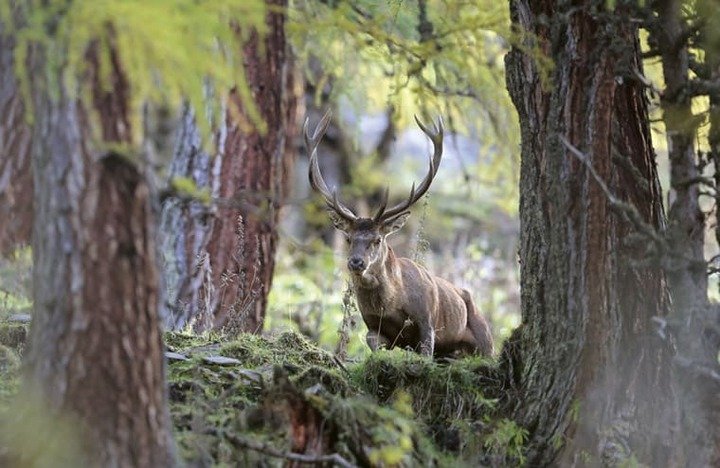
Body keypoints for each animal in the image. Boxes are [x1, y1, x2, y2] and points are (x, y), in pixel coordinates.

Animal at [304, 110, 493, 358]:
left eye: (377, 239)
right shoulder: (373, 327)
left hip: (485, 339)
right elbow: (373, 343)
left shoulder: (427, 320)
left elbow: (426, 351)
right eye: (348, 238)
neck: (392, 303)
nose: (356, 262)